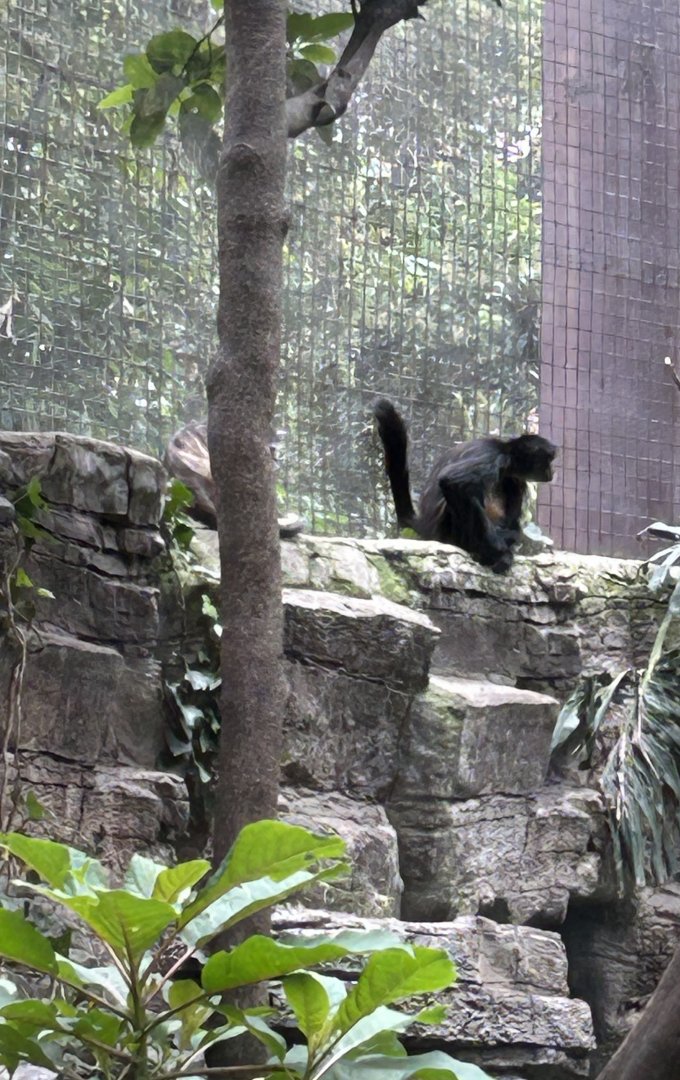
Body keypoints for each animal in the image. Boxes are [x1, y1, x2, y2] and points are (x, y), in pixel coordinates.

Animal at [373, 397, 556, 573]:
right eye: (548, 461)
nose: (551, 471)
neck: (505, 450)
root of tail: (427, 527)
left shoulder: (514, 477)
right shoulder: (492, 456)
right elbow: (452, 481)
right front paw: (497, 550)